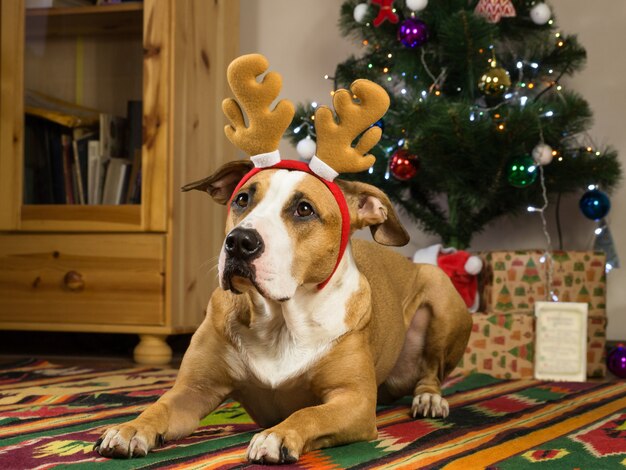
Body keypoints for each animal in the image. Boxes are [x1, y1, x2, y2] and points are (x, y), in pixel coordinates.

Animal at [95, 54, 470, 462]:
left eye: (304, 209)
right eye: (242, 199)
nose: (239, 243)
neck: (280, 320)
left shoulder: (354, 401)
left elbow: (310, 413)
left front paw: (277, 435)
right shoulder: (194, 390)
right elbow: (160, 406)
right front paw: (130, 428)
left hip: (441, 291)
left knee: (432, 371)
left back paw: (429, 399)